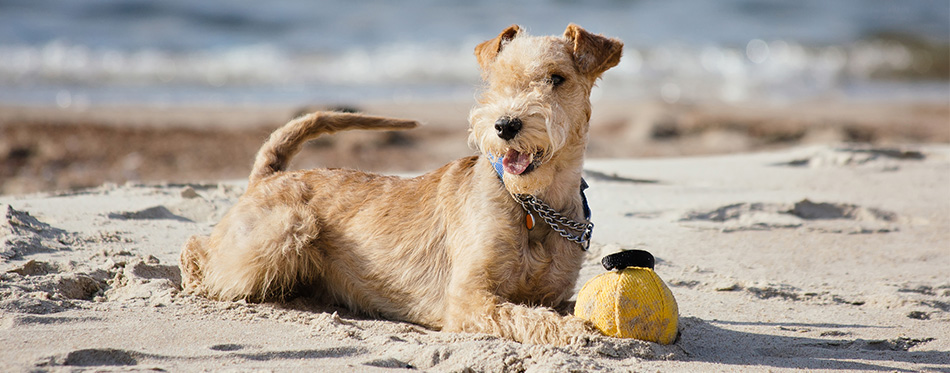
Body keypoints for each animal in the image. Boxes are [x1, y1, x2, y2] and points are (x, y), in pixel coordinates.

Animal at [178, 23, 624, 344]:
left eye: (557, 78)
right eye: (495, 81)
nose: (505, 125)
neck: (533, 205)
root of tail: (267, 177)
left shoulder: (552, 294)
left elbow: (549, 308)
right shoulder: (468, 298)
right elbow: (525, 315)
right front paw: (575, 331)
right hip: (284, 230)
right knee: (198, 250)